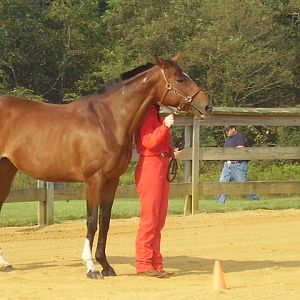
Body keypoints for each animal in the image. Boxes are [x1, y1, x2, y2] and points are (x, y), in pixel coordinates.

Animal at [0, 54, 212, 278]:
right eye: (179, 79)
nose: (207, 105)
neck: (107, 121)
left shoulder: (112, 180)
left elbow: (105, 221)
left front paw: (106, 265)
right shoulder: (94, 180)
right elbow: (92, 220)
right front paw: (91, 267)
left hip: (7, 169)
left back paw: (5, 262)